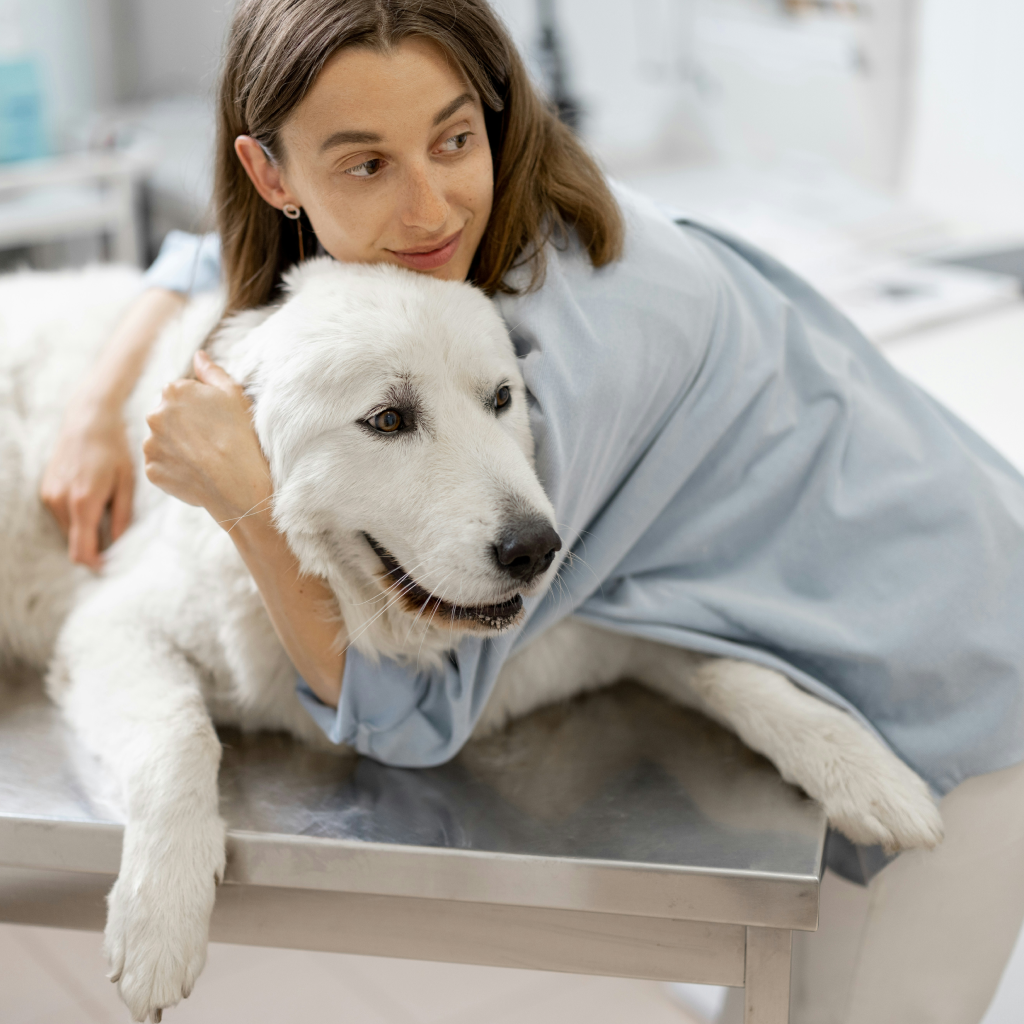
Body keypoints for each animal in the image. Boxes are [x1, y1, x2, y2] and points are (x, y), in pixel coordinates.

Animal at [0, 260, 942, 1019]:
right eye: (387, 419)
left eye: (501, 399)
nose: (536, 549)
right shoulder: (115, 624)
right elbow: (180, 741)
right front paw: (160, 917)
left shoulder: (594, 635)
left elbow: (728, 671)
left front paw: (868, 773)